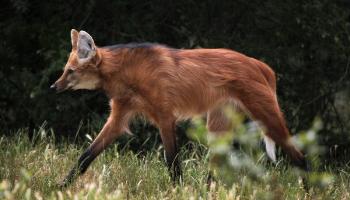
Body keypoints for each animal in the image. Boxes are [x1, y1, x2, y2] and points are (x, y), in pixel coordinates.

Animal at [50, 29, 308, 188]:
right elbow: (86, 156)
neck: (126, 73)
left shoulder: (165, 116)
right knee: (216, 164)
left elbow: (172, 162)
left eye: (70, 71)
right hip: (219, 122)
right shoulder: (120, 116)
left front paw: (177, 190)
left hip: (265, 114)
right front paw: (60, 186)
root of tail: (262, 66)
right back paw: (207, 191)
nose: (54, 86)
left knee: (300, 157)